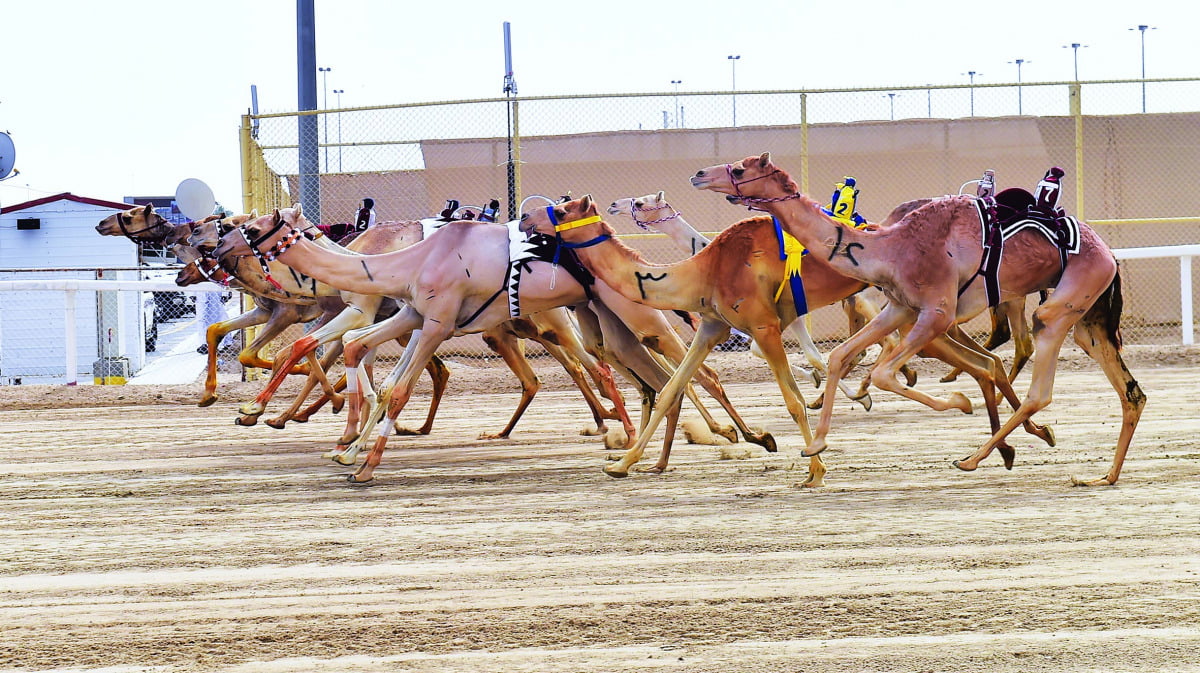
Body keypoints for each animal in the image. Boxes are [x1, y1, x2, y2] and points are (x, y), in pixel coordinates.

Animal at [218, 206, 777, 482]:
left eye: (256, 224)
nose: (223, 243)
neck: (406, 259)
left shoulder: (436, 321)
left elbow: (397, 387)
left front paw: (363, 466)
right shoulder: (415, 313)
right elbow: (367, 359)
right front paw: (347, 448)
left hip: (634, 315)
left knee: (683, 373)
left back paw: (731, 438)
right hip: (603, 322)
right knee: (654, 380)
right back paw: (648, 460)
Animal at [691, 154, 1137, 484]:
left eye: (739, 169)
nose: (698, 174)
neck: (890, 248)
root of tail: (1109, 254)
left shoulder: (936, 313)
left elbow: (885, 373)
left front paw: (959, 403)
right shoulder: (900, 307)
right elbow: (840, 357)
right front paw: (816, 445)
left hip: (1066, 298)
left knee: (1038, 382)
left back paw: (974, 458)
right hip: (1089, 318)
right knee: (1129, 391)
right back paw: (1101, 475)